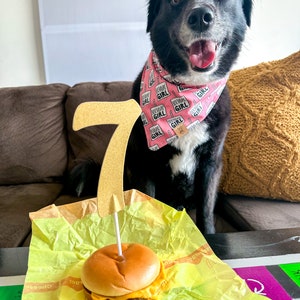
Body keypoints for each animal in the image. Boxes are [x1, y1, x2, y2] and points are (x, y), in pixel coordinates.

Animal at [69, 0, 252, 234]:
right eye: (173, 2)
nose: (200, 17)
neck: (187, 92)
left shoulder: (210, 164)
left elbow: (206, 208)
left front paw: (208, 236)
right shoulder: (144, 163)